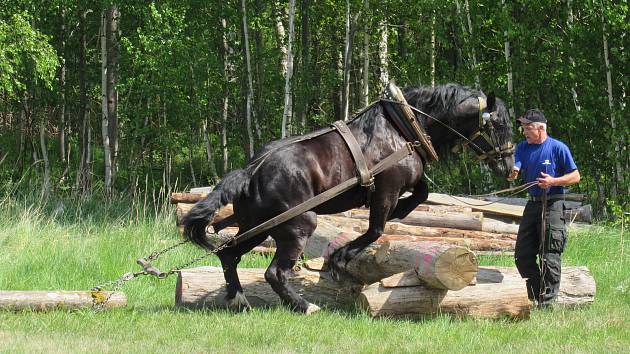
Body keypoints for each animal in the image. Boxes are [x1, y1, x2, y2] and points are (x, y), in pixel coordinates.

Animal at [181, 83, 512, 312]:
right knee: (274, 273)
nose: (511, 167)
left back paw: (239, 300)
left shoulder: (406, 182)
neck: (403, 128)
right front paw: (339, 259)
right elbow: (376, 228)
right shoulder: (387, 189)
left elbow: (422, 193)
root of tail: (251, 170)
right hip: (298, 225)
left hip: (258, 226)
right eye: (499, 124)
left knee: (229, 255)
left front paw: (401, 212)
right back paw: (304, 306)